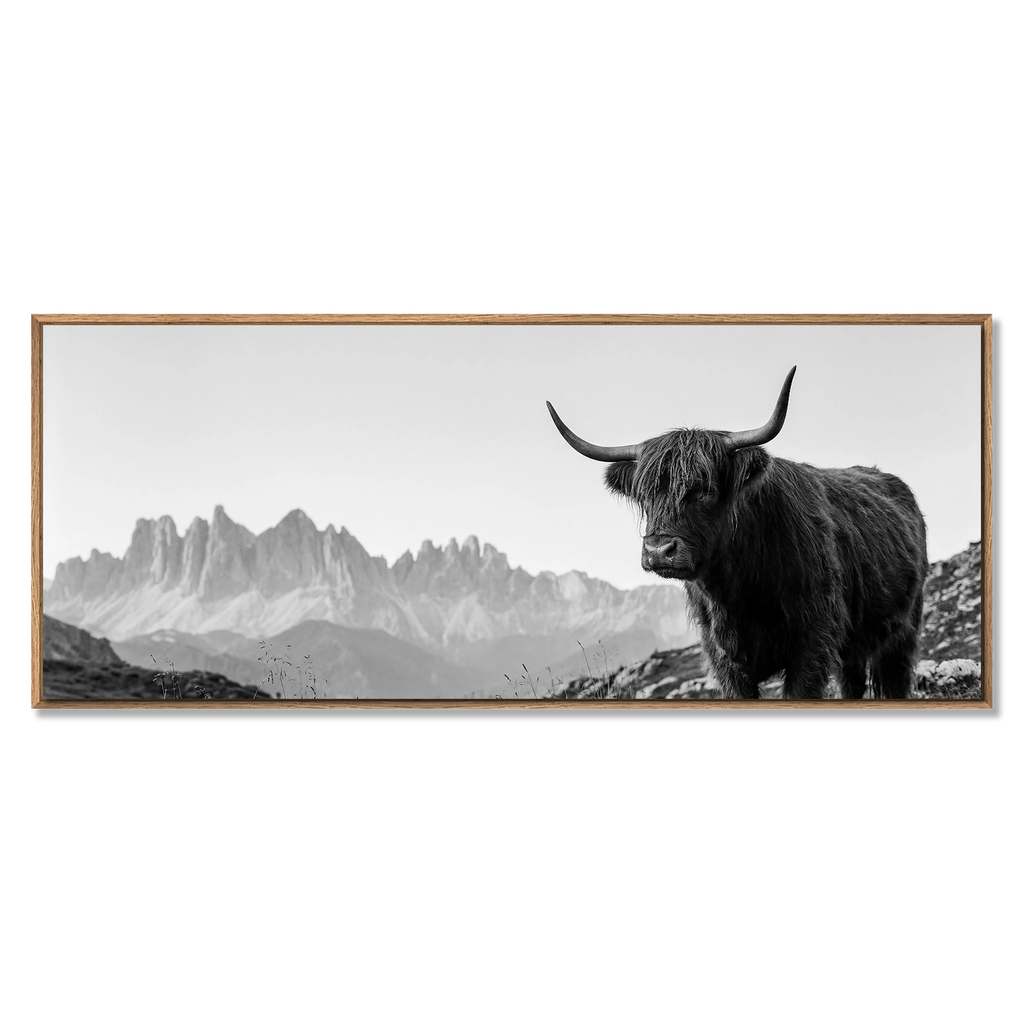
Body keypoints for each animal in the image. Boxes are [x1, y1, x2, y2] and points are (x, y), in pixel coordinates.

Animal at [546, 367, 928, 699]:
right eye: (644, 495)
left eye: (705, 490)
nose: (658, 550)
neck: (736, 590)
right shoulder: (723, 659)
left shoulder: (813, 642)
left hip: (903, 629)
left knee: (894, 678)